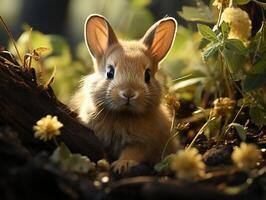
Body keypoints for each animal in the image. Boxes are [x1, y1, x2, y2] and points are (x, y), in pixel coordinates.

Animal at [70, 14, 179, 173]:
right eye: (109, 72)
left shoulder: (142, 143)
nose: (128, 93)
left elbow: (132, 153)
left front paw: (122, 165)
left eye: (147, 75)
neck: (122, 114)